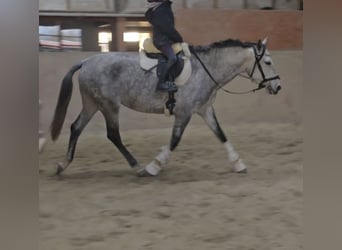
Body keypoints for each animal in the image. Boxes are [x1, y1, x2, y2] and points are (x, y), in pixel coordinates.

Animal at [50, 38, 280, 177]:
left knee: (76, 128)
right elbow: (174, 141)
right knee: (113, 135)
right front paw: (154, 166)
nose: (278, 86)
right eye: (268, 62)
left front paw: (238, 163)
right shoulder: (184, 113)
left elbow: (221, 135)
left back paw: (62, 165)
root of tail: (87, 61)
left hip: (92, 104)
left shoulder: (204, 109)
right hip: (109, 105)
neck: (206, 69)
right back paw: (138, 167)